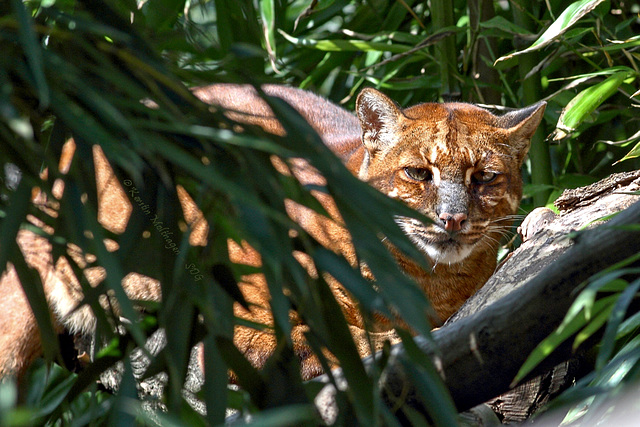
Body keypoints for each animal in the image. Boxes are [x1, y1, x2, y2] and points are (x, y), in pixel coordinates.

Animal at [0, 83, 544, 382]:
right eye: (417, 173)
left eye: (484, 178)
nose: (451, 219)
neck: (424, 275)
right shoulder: (244, 317)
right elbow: (332, 340)